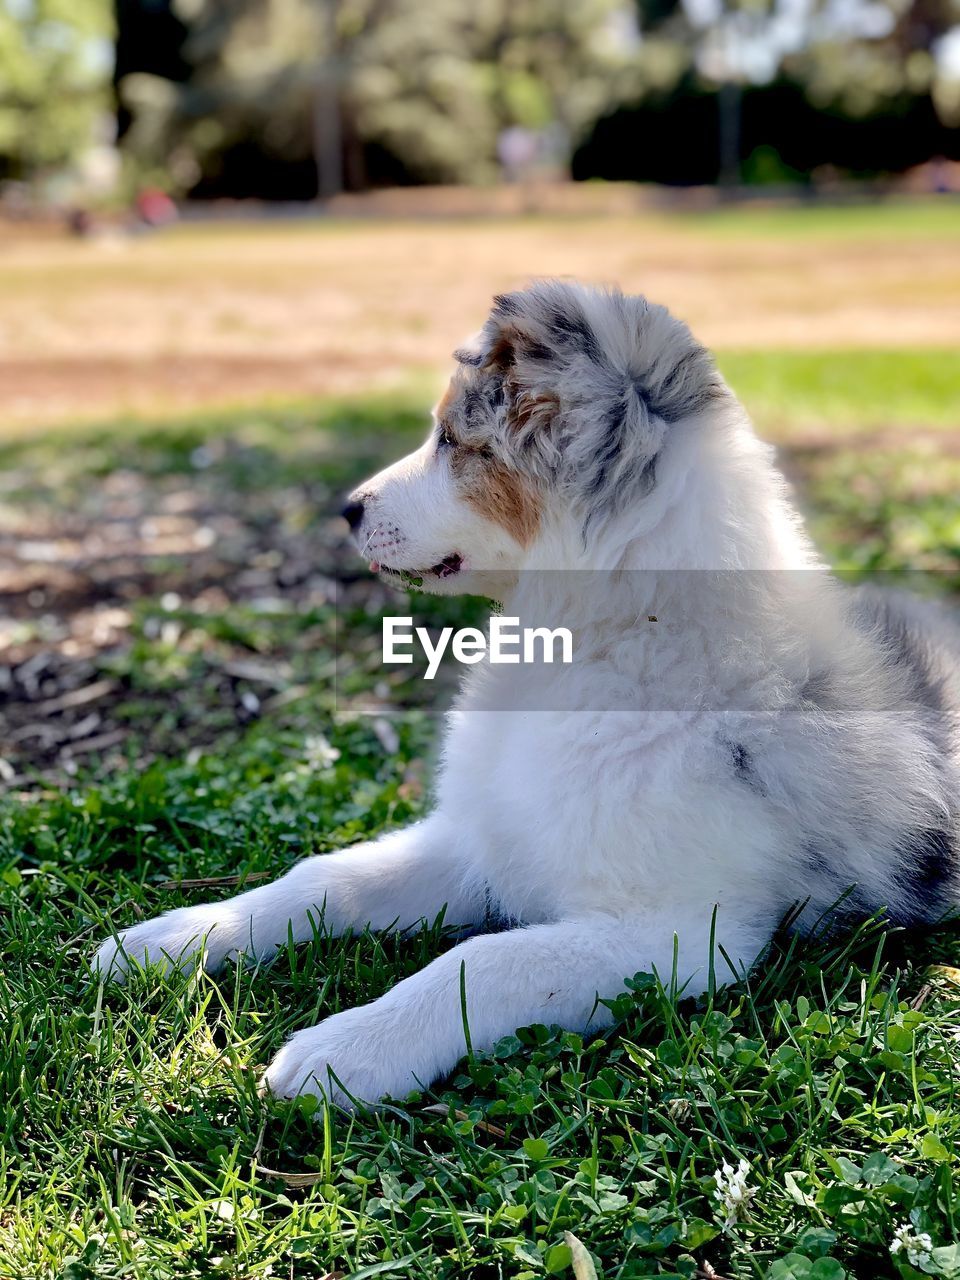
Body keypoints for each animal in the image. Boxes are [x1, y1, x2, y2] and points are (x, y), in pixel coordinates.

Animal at [92, 285, 960, 1105]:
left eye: (453, 442)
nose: (347, 510)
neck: (603, 644)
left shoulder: (674, 931)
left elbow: (483, 961)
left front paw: (344, 1053)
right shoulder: (482, 838)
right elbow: (325, 878)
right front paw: (173, 938)